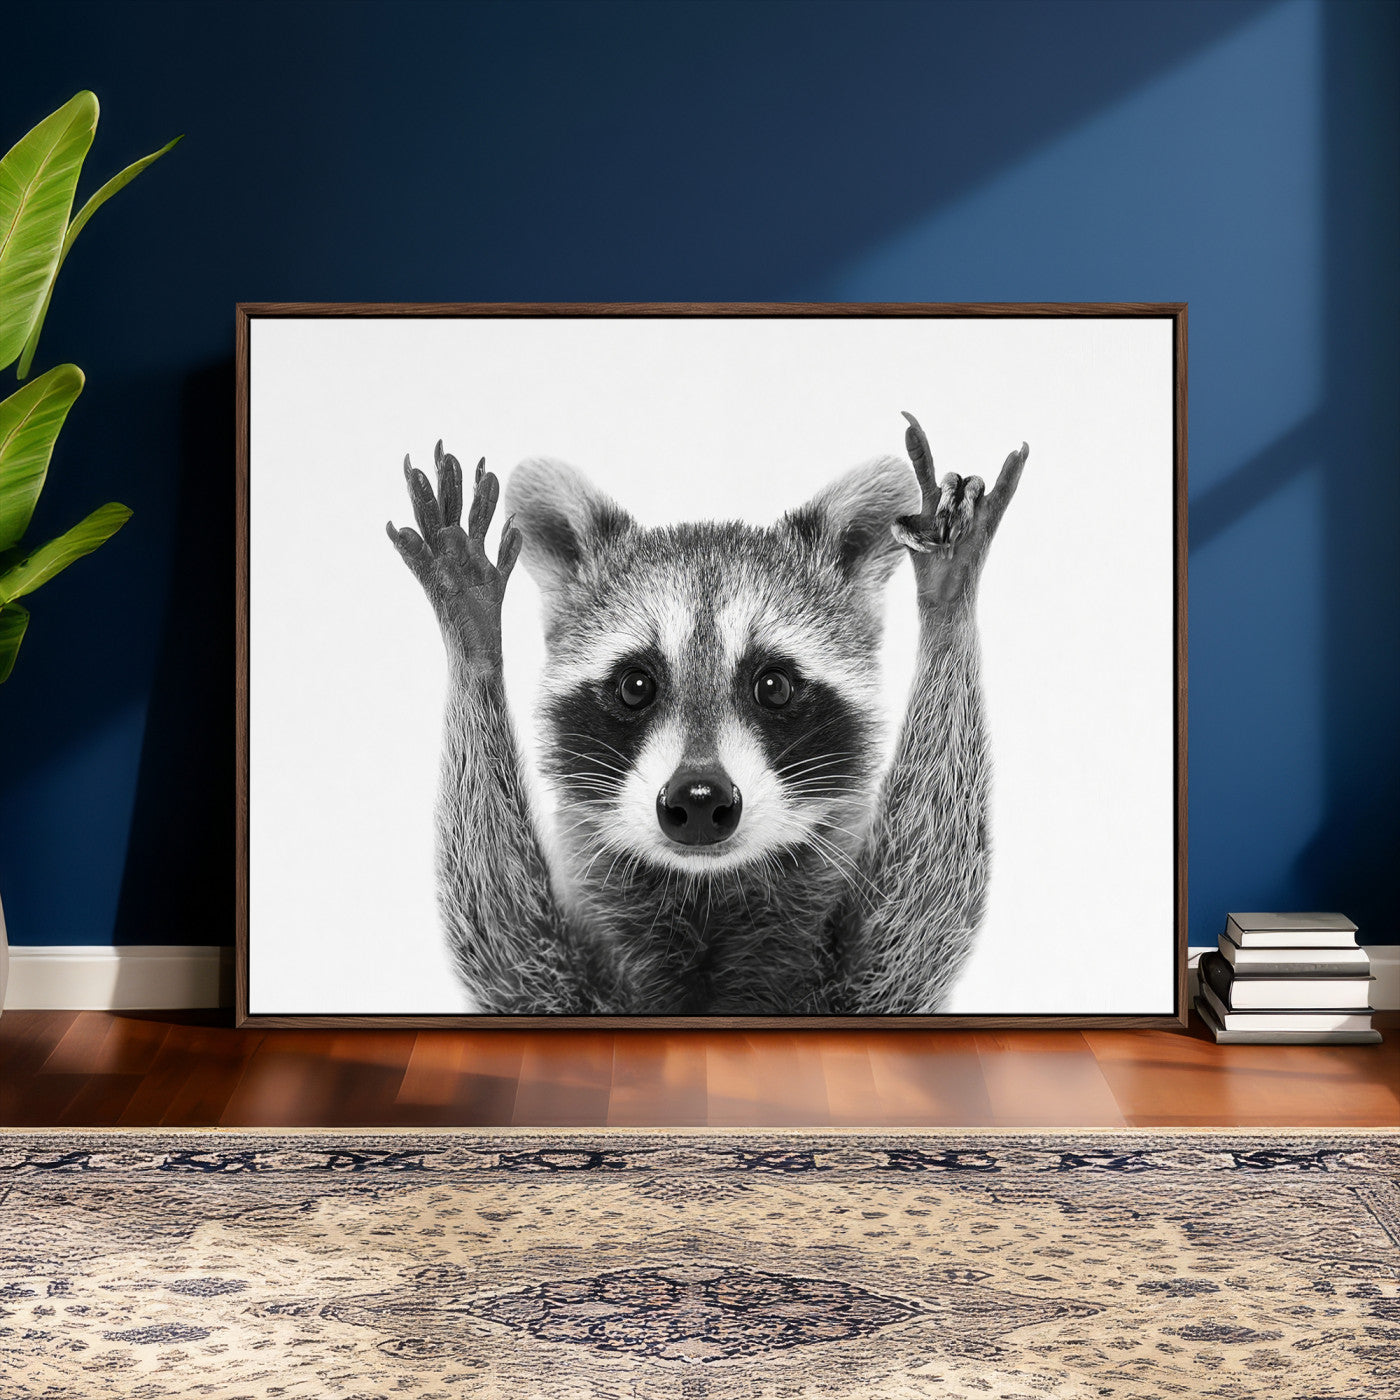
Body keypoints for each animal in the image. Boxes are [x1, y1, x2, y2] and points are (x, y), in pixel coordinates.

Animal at [386, 414, 1027, 1015]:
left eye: (773, 686)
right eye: (635, 686)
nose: (698, 800)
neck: (705, 896)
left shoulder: (866, 984)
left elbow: (923, 908)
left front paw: (947, 599)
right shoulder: (555, 983)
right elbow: (501, 938)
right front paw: (473, 635)